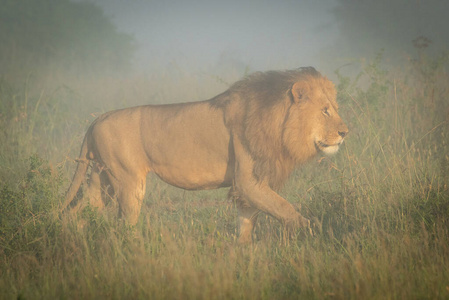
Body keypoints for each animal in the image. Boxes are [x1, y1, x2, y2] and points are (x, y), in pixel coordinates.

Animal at [62, 67, 346, 243]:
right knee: (125, 224)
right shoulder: (248, 180)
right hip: (128, 181)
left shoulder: (252, 185)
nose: (345, 132)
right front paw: (316, 234)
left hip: (101, 179)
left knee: (77, 212)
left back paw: (71, 241)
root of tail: (97, 119)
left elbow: (247, 220)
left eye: (334, 108)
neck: (277, 122)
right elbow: (286, 209)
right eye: (325, 111)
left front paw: (241, 252)